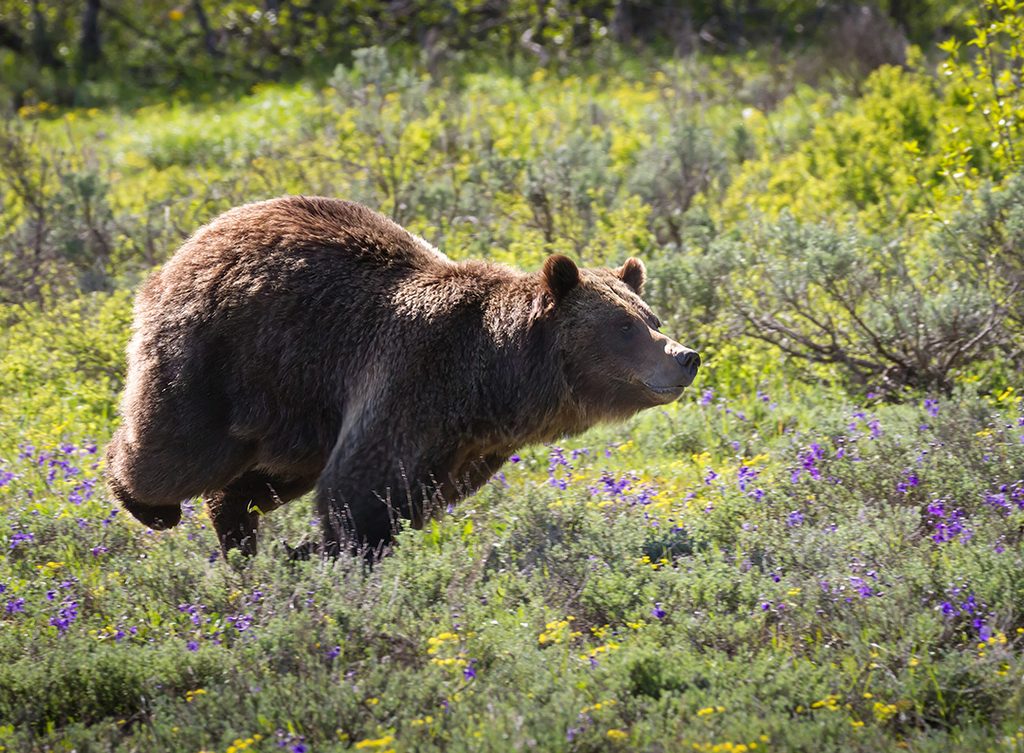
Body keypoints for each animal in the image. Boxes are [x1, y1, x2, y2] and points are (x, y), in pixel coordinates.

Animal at [105, 196, 700, 557]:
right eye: (623, 328)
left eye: (651, 318)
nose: (685, 355)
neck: (493, 381)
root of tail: (194, 240)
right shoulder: (411, 379)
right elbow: (362, 490)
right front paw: (324, 552)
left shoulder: (468, 445)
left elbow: (405, 500)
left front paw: (304, 551)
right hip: (224, 356)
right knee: (176, 451)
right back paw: (147, 503)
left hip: (298, 412)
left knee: (262, 478)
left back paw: (238, 537)